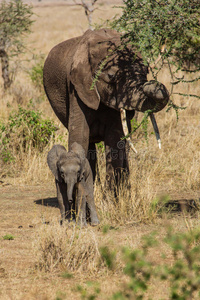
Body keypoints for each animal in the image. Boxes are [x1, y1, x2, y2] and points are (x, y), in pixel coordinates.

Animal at [43, 29, 169, 186]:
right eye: (111, 76)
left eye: (146, 71)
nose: (151, 83)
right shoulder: (76, 88)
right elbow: (80, 135)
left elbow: (115, 139)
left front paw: (112, 193)